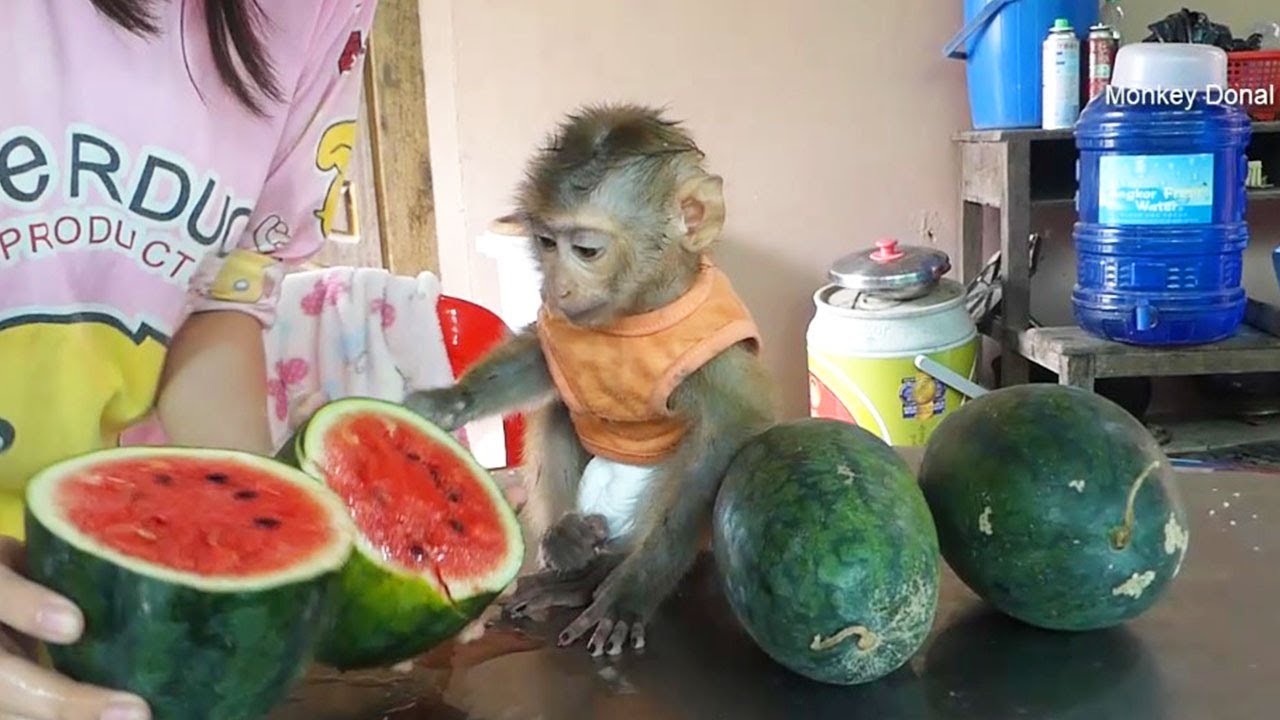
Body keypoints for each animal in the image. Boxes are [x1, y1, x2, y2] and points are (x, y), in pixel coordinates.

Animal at [405, 104, 777, 657]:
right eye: (544, 243)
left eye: (585, 249)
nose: (555, 287)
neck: (636, 312)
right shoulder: (562, 325)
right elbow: (543, 359)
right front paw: (452, 400)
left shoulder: (716, 345)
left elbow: (728, 429)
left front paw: (633, 590)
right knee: (559, 409)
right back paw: (566, 549)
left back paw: (596, 575)